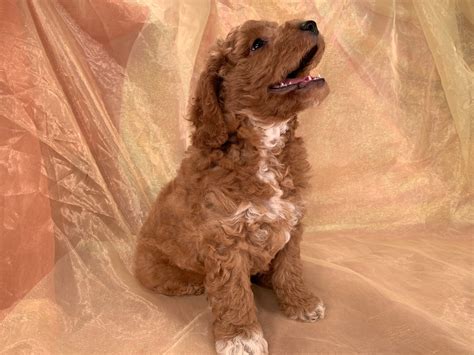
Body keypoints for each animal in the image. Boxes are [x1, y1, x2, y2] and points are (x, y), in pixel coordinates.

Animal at [135, 18, 330, 354]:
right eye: (257, 44)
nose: (311, 23)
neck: (264, 144)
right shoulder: (225, 241)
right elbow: (233, 292)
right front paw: (242, 336)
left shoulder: (292, 222)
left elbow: (290, 268)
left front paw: (300, 302)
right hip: (157, 266)